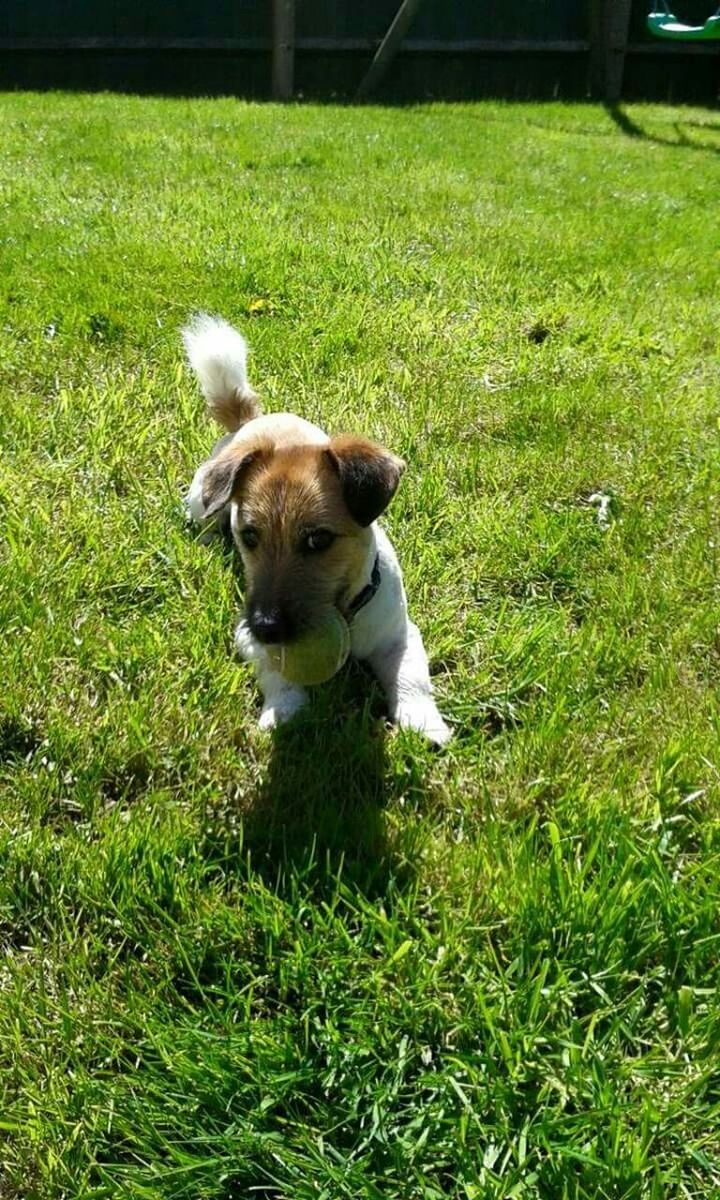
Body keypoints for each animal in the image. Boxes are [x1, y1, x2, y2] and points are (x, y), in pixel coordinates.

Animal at [182, 319, 451, 748]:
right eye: (249, 536)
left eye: (318, 540)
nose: (266, 626)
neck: (348, 611)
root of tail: (249, 421)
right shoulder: (247, 638)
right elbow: (275, 672)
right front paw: (285, 709)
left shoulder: (401, 635)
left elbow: (413, 678)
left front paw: (424, 723)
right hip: (201, 499)